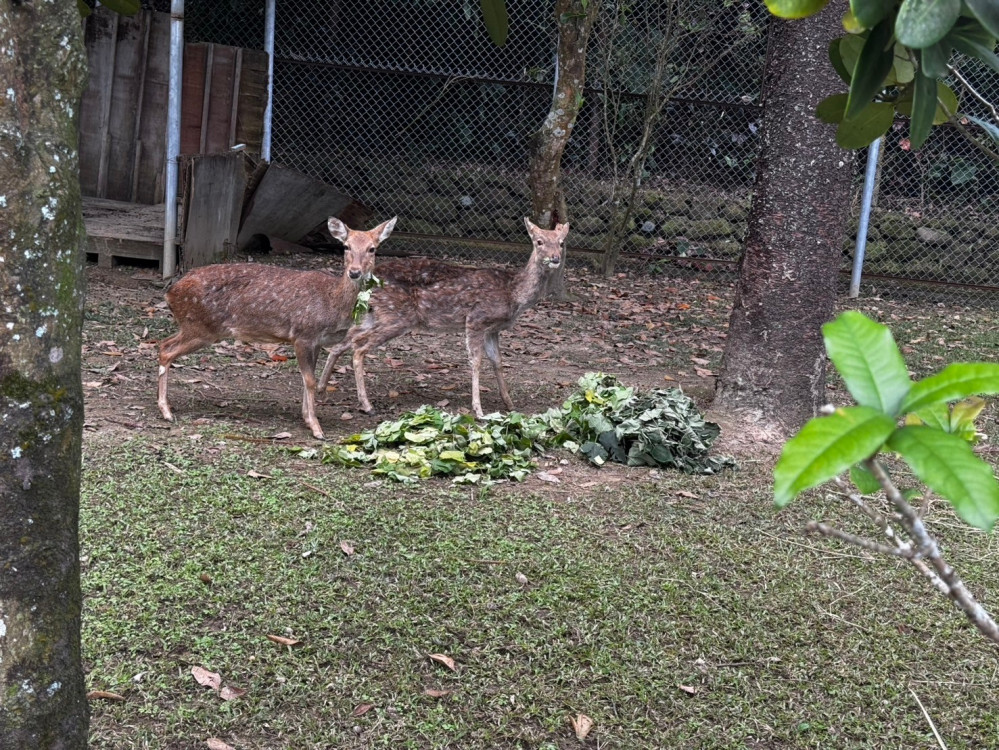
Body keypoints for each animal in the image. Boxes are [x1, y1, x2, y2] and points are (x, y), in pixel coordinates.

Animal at [158, 216, 396, 440]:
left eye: (372, 248)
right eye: (346, 246)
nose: (354, 272)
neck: (333, 304)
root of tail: (170, 292)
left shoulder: (316, 342)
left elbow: (307, 378)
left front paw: (306, 418)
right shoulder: (302, 335)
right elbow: (310, 380)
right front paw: (317, 429)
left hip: (195, 327)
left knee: (163, 345)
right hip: (201, 327)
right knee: (166, 350)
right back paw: (166, 412)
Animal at [320, 219, 572, 418]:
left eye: (561, 242)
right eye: (539, 241)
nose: (555, 258)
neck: (513, 294)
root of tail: (369, 280)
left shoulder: (493, 329)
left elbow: (498, 361)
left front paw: (510, 404)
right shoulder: (477, 318)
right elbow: (476, 361)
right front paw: (479, 410)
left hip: (375, 315)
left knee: (345, 341)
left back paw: (322, 387)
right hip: (397, 317)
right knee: (358, 349)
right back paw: (367, 405)